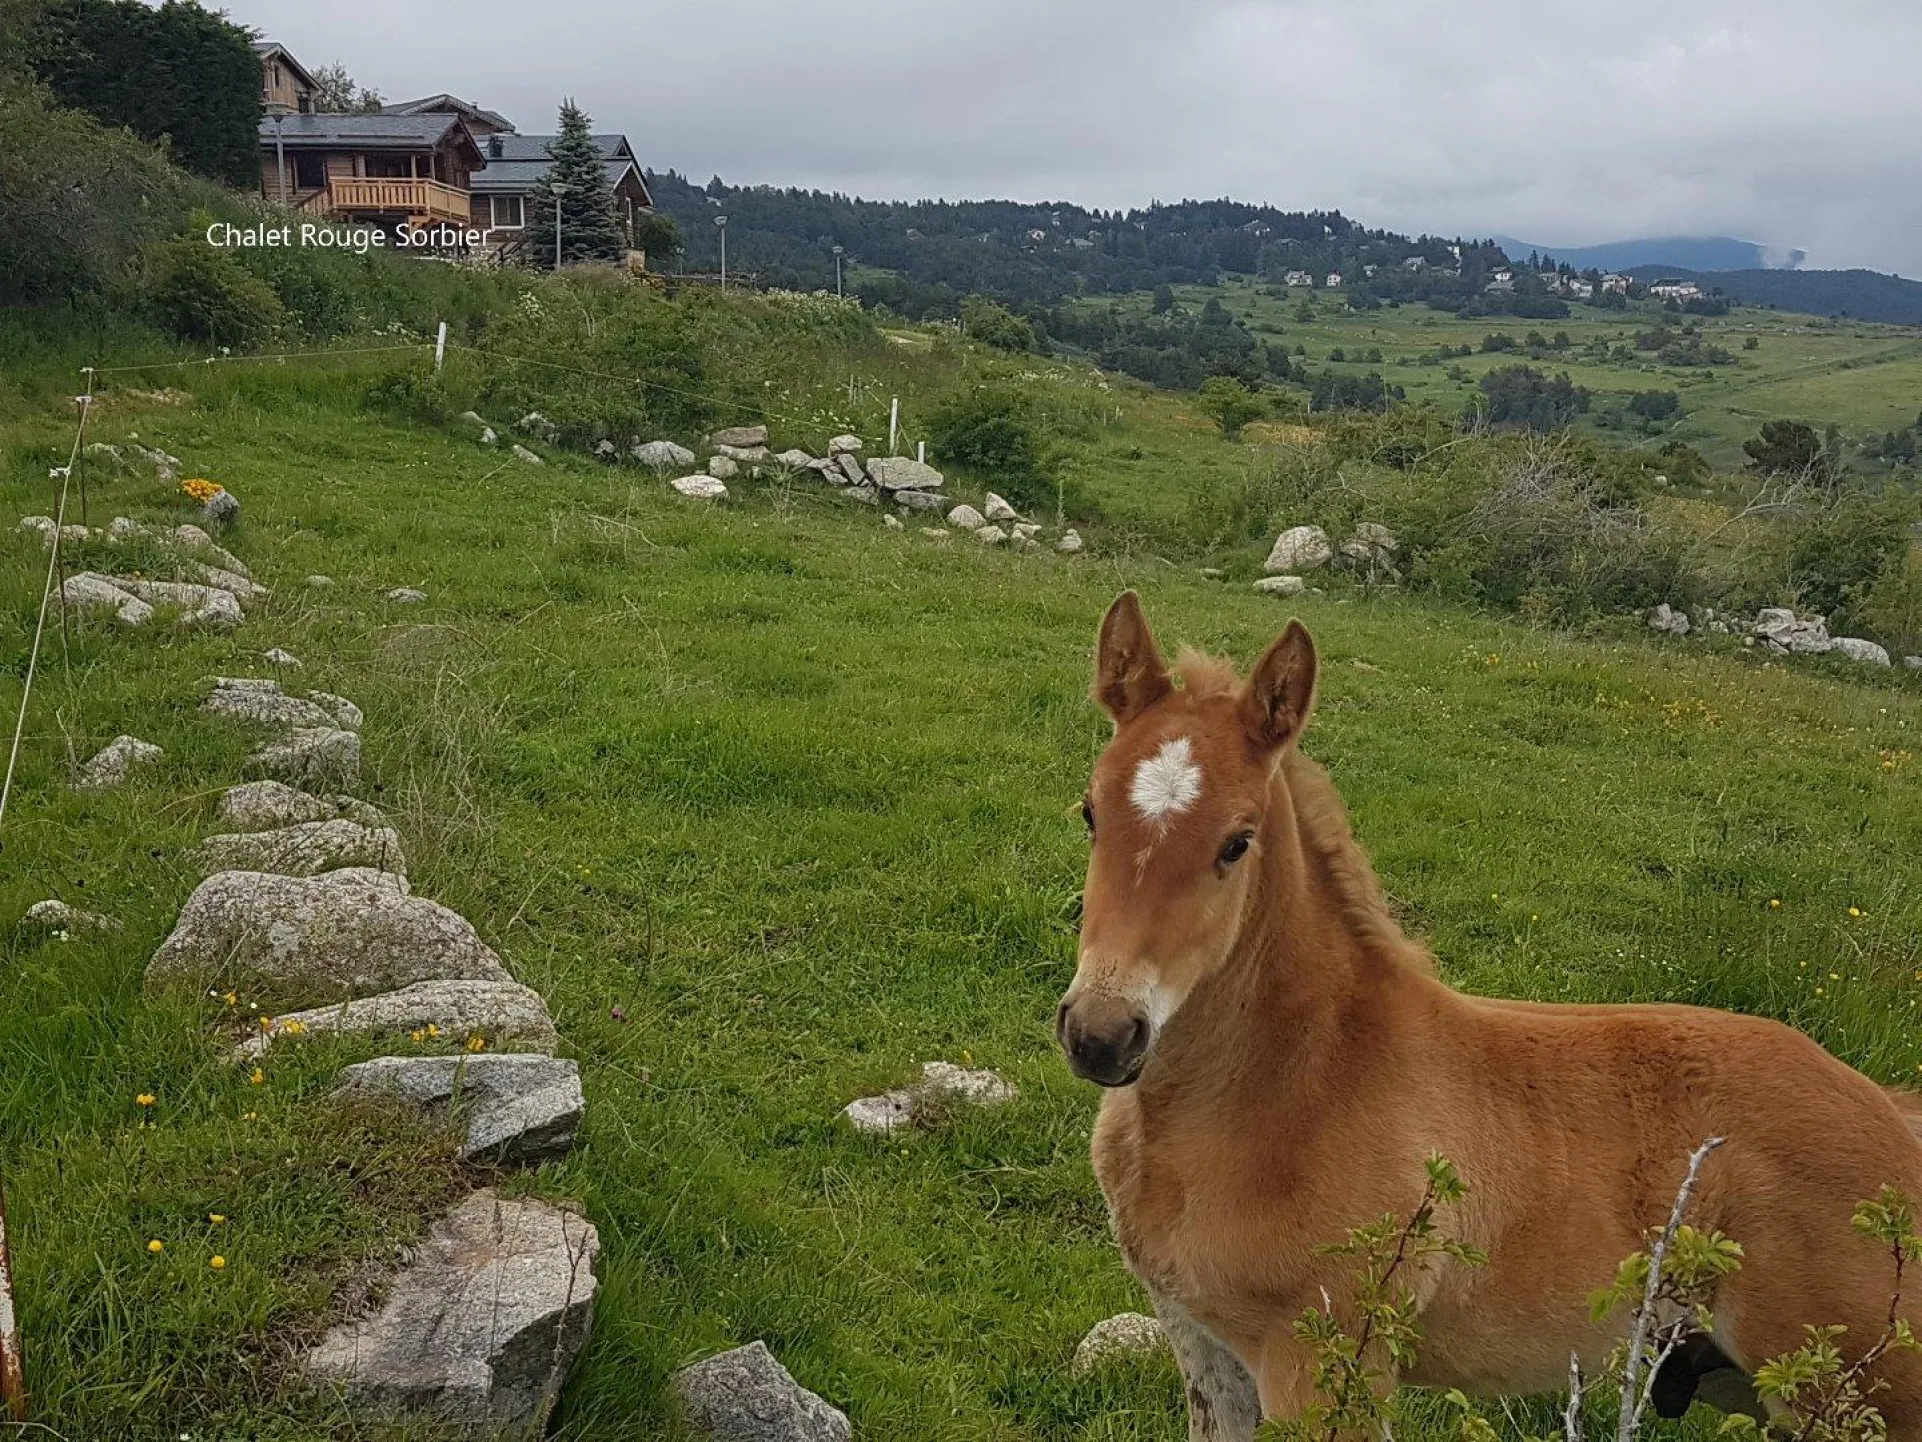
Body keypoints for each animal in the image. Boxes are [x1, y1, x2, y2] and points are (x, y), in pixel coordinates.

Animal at [1055, 591, 1922, 1438]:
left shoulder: (1327, 1363)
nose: (1103, 1034)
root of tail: (1894, 1116)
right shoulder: (1199, 1339)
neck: (1300, 1082)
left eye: (1237, 842)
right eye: (1090, 812)